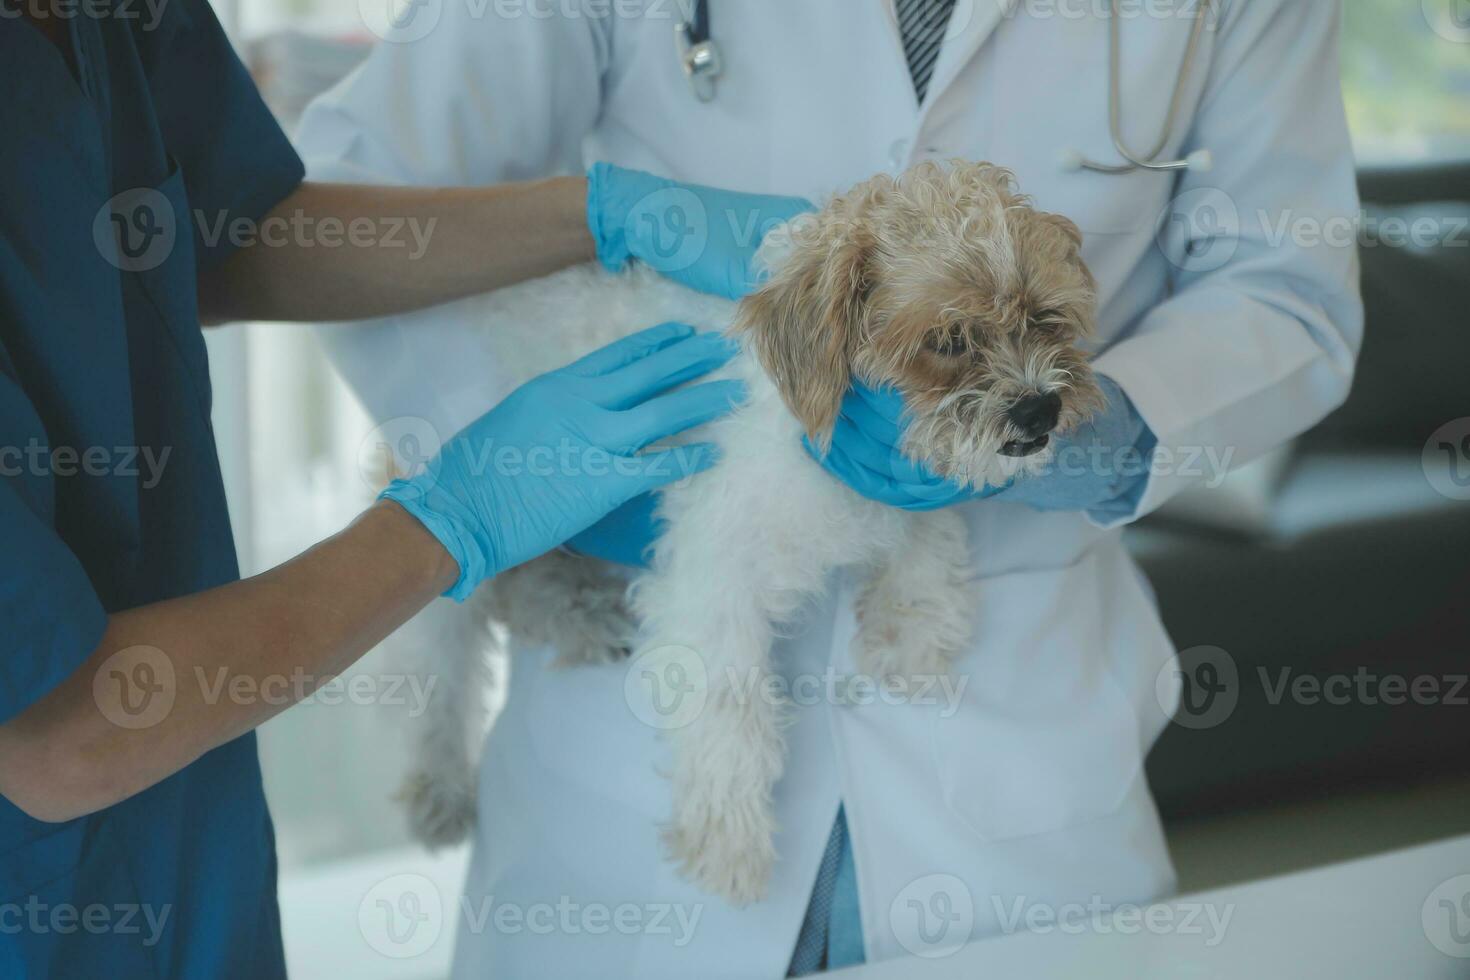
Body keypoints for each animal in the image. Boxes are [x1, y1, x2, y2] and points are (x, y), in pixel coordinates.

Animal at [399, 160, 1105, 905]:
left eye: (1046, 317)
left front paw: (911, 639)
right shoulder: (711, 579)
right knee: (436, 661)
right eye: (949, 340)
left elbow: (927, 544)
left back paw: (579, 615)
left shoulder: (897, 487)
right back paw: (438, 790)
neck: (822, 437)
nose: (1042, 409)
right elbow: (726, 710)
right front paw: (728, 842)